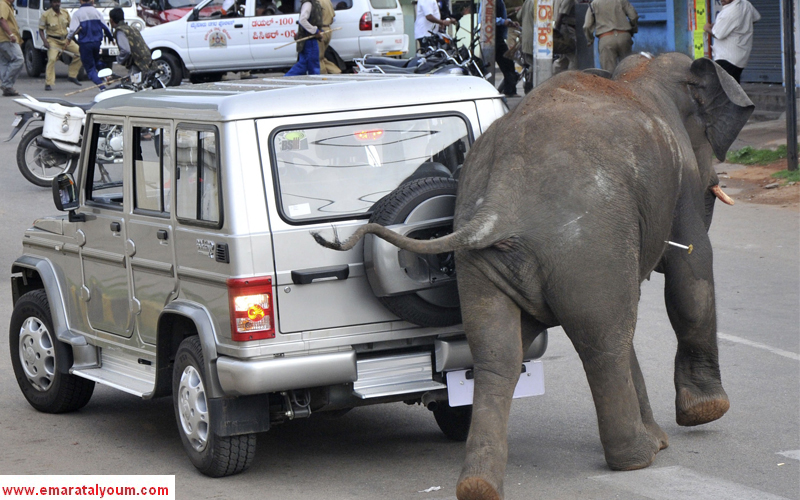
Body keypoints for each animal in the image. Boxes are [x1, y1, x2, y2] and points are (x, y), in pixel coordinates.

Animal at [310, 52, 752, 498]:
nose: (718, 182)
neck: (637, 76)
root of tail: (500, 201)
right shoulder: (680, 184)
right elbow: (691, 271)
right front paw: (705, 412)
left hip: (489, 263)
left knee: (498, 354)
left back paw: (479, 486)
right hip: (587, 244)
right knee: (604, 340)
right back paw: (637, 459)